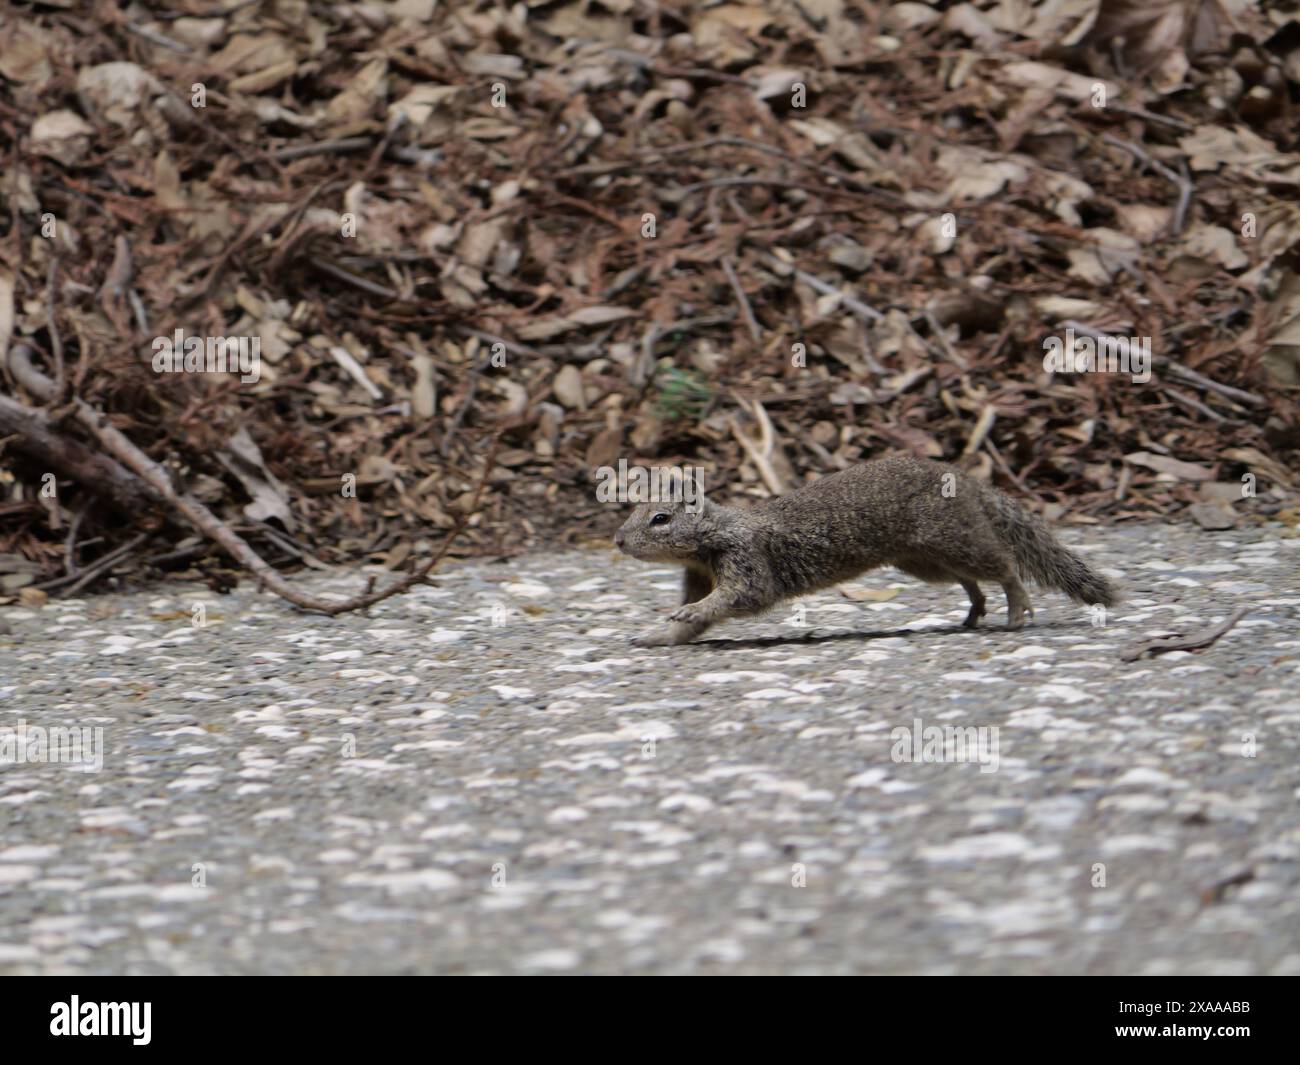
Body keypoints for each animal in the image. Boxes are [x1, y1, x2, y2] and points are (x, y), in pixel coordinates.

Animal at [614, 455, 1117, 647]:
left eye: (660, 519)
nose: (618, 540)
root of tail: (965, 479)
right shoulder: (699, 574)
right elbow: (694, 621)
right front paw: (658, 635)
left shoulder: (747, 564)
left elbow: (739, 597)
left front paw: (685, 615)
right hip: (924, 561)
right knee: (971, 581)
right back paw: (973, 613)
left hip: (954, 542)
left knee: (1006, 567)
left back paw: (1014, 609)